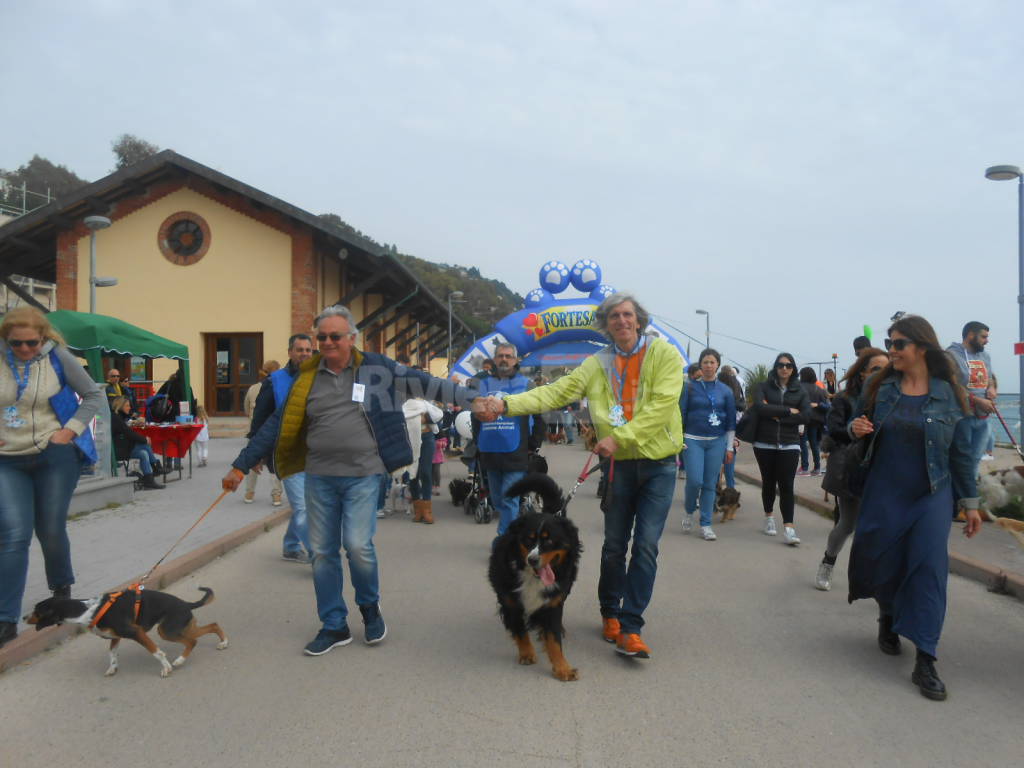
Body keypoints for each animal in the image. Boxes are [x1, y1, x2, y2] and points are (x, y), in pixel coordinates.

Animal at [24, 585, 229, 675]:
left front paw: (166, 667)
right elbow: (112, 653)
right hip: (180, 627)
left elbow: (156, 652)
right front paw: (112, 667)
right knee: (212, 625)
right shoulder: (115, 636)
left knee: (193, 641)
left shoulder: (136, 632)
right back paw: (223, 643)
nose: (24, 618)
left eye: (36, 611)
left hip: (167, 631)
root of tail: (186, 604)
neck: (88, 610)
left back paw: (179, 661)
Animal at [489, 475, 585, 684]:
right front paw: (526, 653)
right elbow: (520, 631)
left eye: (549, 540)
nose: (532, 559)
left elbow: (554, 640)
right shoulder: (511, 602)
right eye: (528, 539)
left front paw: (563, 668)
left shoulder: (552, 603)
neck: (532, 578)